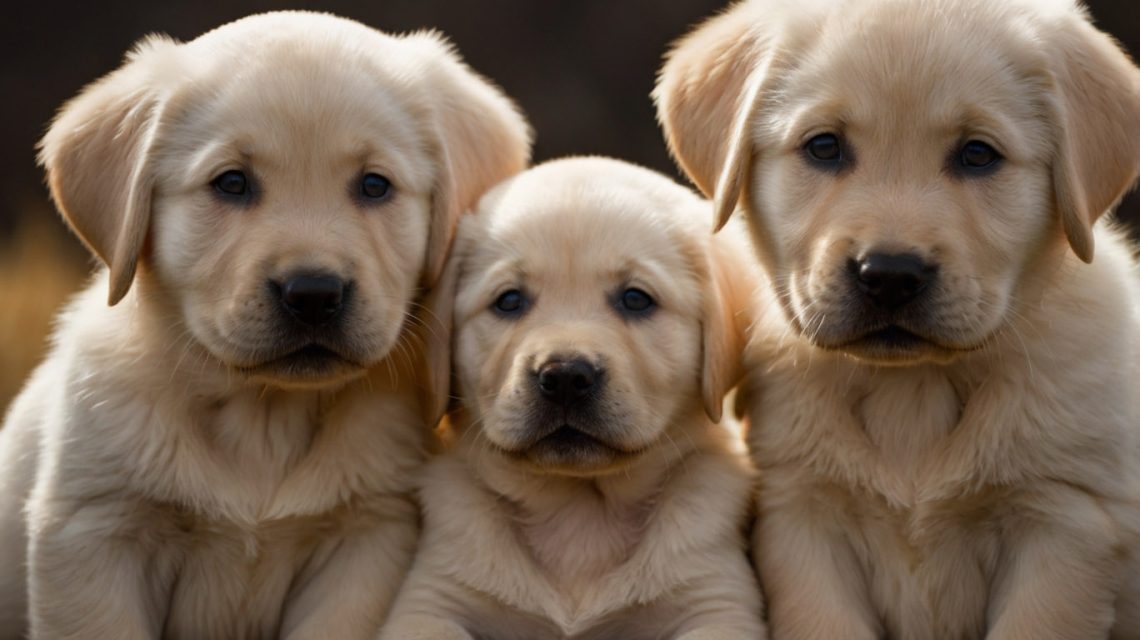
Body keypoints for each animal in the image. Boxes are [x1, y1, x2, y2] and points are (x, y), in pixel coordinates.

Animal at [0, 11, 528, 638]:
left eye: (375, 185)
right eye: (231, 183)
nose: (314, 294)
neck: (264, 415)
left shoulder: (366, 541)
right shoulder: (94, 535)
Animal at [380, 155, 766, 638]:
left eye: (636, 299)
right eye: (509, 301)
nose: (564, 376)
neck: (580, 509)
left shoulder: (715, 604)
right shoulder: (432, 602)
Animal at [656, 1, 1140, 638]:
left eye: (978, 154)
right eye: (824, 147)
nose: (889, 275)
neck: (913, 386)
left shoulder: (1064, 520)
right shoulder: (803, 519)